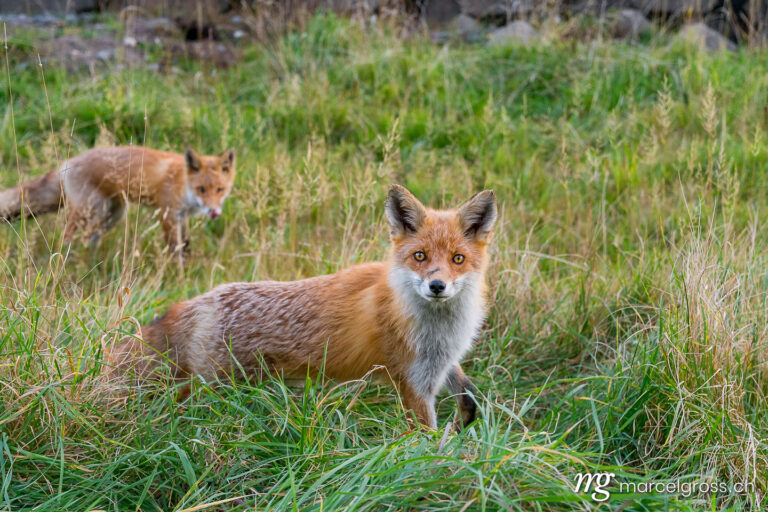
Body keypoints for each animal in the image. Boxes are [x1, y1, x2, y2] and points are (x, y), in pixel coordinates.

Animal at [112, 184, 498, 428]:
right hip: (213, 388)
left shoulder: (440, 362)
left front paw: (467, 416)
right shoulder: (414, 383)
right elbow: (425, 441)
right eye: (420, 256)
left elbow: (465, 390)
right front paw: (436, 466)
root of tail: (198, 301)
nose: (437, 286)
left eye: (457, 259)